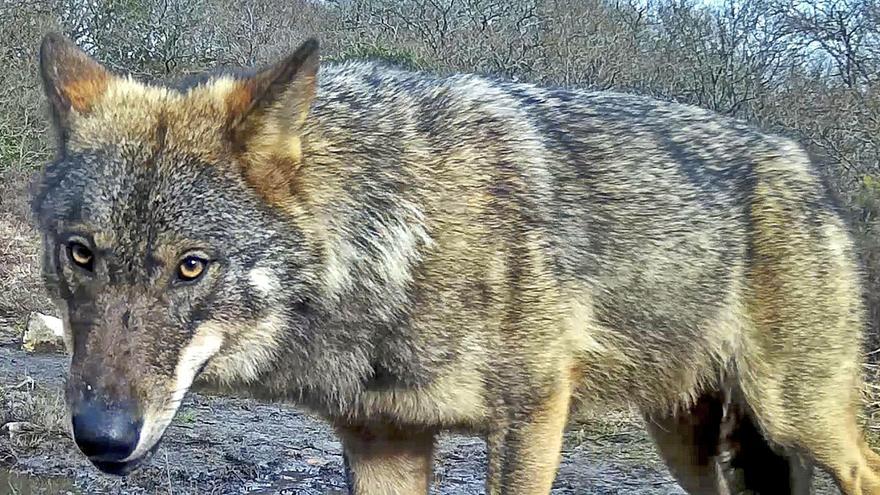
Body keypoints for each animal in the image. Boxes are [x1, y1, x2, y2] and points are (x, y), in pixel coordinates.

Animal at [31, 32, 880, 495]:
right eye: (81, 254)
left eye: (191, 266)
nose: (102, 436)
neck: (400, 244)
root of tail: (807, 166)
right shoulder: (384, 441)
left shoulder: (531, 416)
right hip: (693, 444)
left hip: (796, 416)